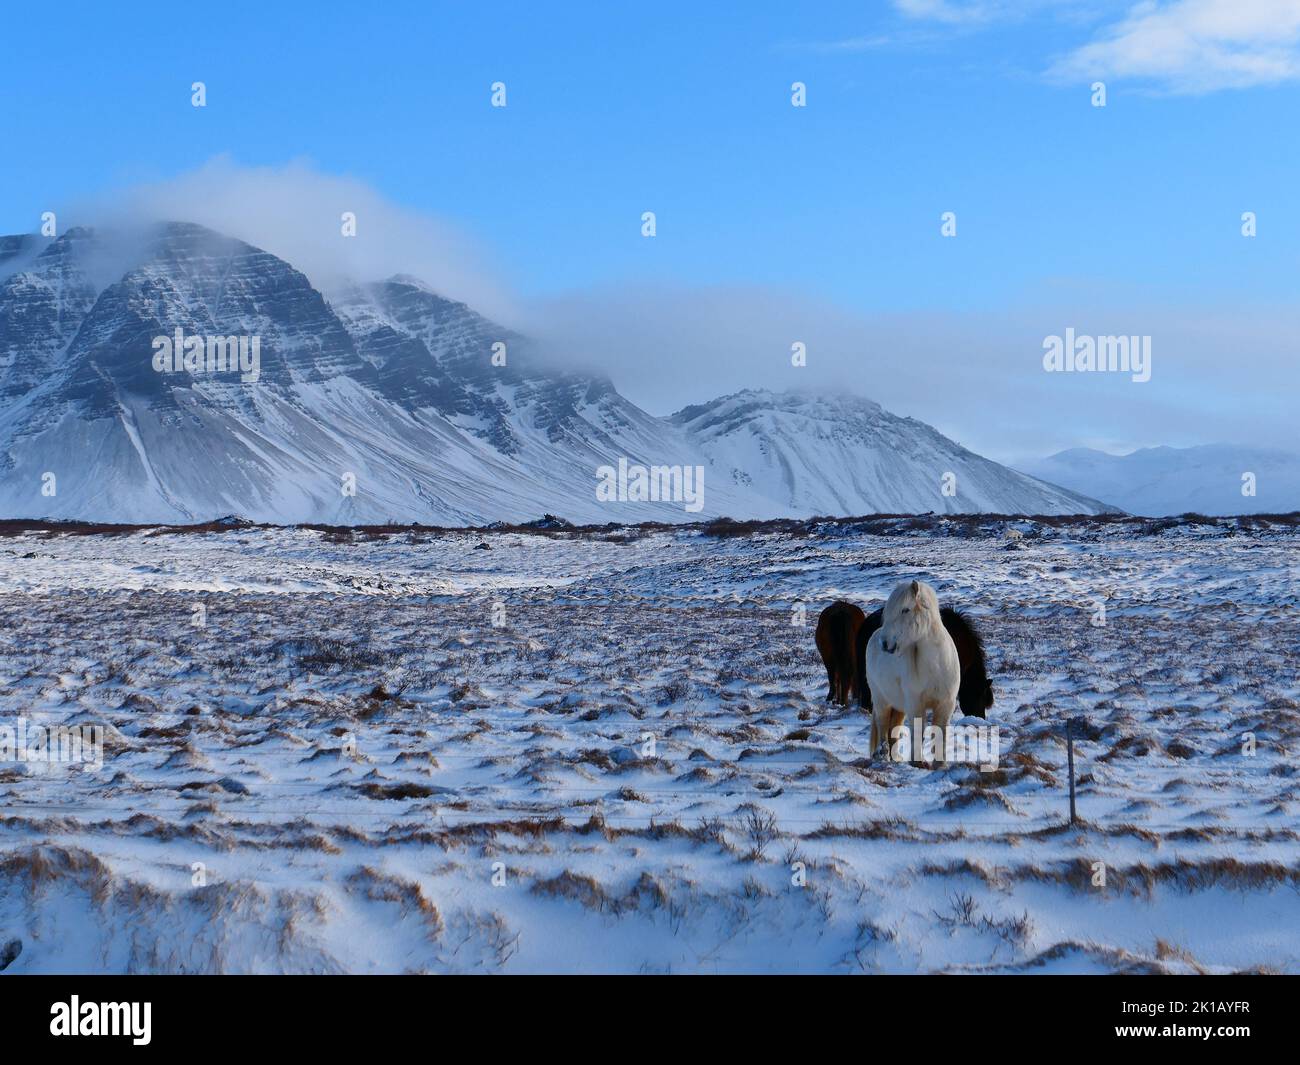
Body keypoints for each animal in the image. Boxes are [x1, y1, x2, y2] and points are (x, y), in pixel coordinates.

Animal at [865, 580, 961, 764]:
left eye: (905, 610)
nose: (884, 643)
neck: (935, 666)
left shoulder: (946, 704)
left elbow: (941, 734)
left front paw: (940, 764)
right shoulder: (916, 704)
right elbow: (918, 732)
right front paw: (917, 762)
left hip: (899, 705)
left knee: (893, 729)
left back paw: (895, 758)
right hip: (881, 700)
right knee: (882, 725)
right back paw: (882, 756)